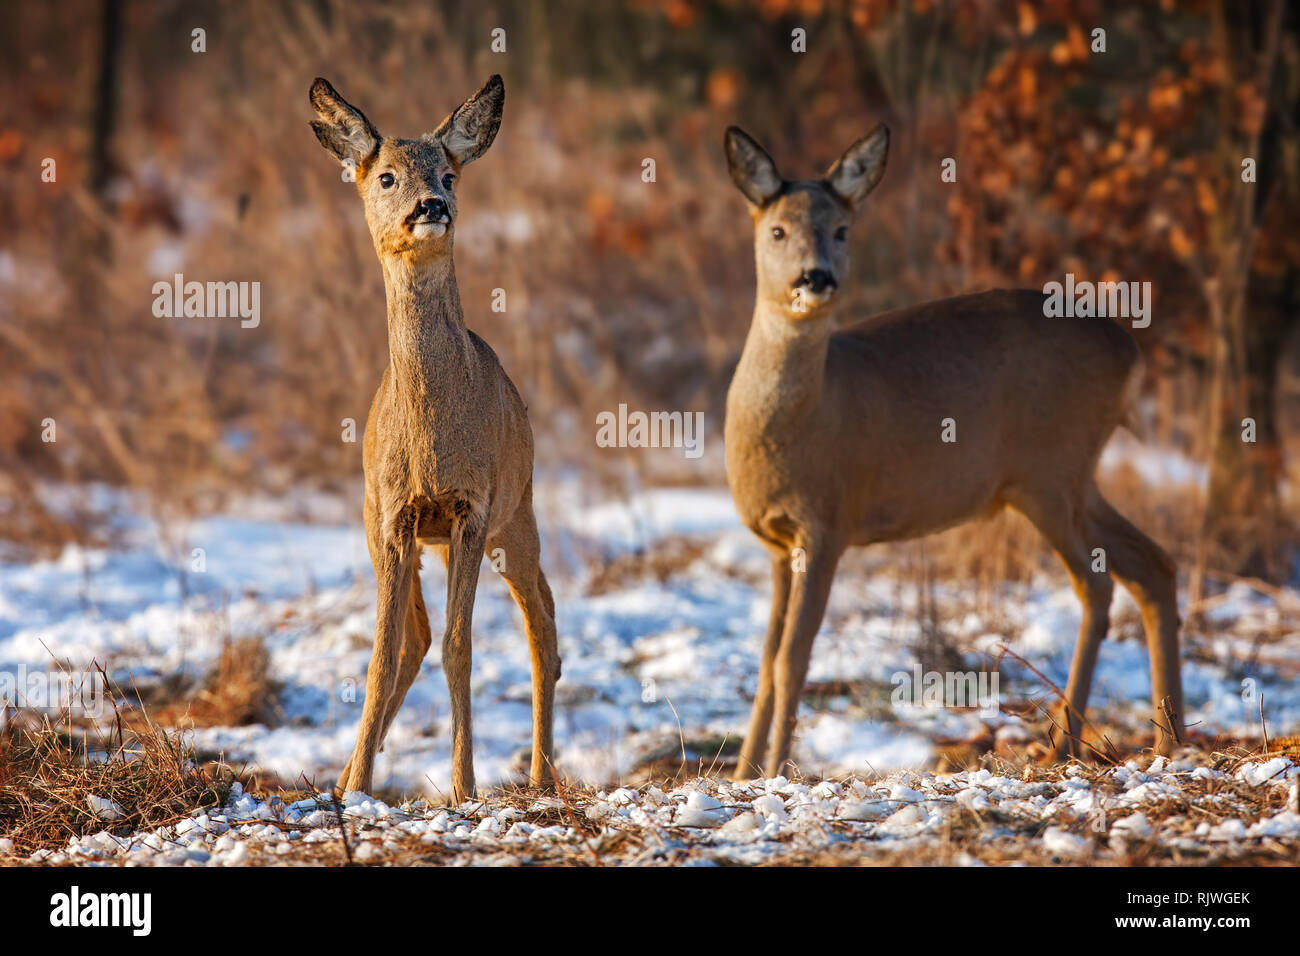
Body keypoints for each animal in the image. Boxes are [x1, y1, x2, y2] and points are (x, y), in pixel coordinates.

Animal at [314, 78, 564, 806]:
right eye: (387, 176)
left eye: (450, 173)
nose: (432, 204)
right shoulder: (396, 516)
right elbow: (382, 653)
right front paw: (358, 785)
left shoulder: (472, 508)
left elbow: (462, 646)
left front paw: (464, 787)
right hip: (377, 524)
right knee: (414, 640)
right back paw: (345, 776)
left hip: (519, 510)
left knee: (542, 623)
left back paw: (541, 776)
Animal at [722, 125, 1190, 780]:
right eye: (777, 230)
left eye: (841, 229)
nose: (815, 278)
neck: (802, 419)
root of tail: (1130, 351)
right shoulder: (775, 541)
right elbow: (765, 661)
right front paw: (742, 772)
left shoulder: (829, 522)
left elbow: (793, 659)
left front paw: (770, 774)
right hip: (1070, 478)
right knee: (1153, 565)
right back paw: (1168, 741)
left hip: (1049, 470)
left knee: (1097, 585)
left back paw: (1066, 745)